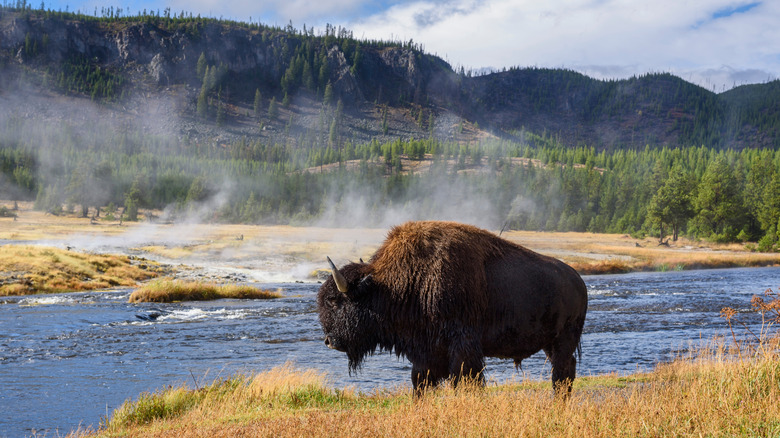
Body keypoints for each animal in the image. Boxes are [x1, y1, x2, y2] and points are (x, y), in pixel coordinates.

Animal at [317, 221, 588, 396]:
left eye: (335, 301)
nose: (329, 341)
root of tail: (578, 280)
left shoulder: (463, 348)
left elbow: (466, 381)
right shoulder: (426, 354)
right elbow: (420, 383)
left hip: (564, 341)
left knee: (562, 373)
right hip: (550, 343)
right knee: (565, 372)